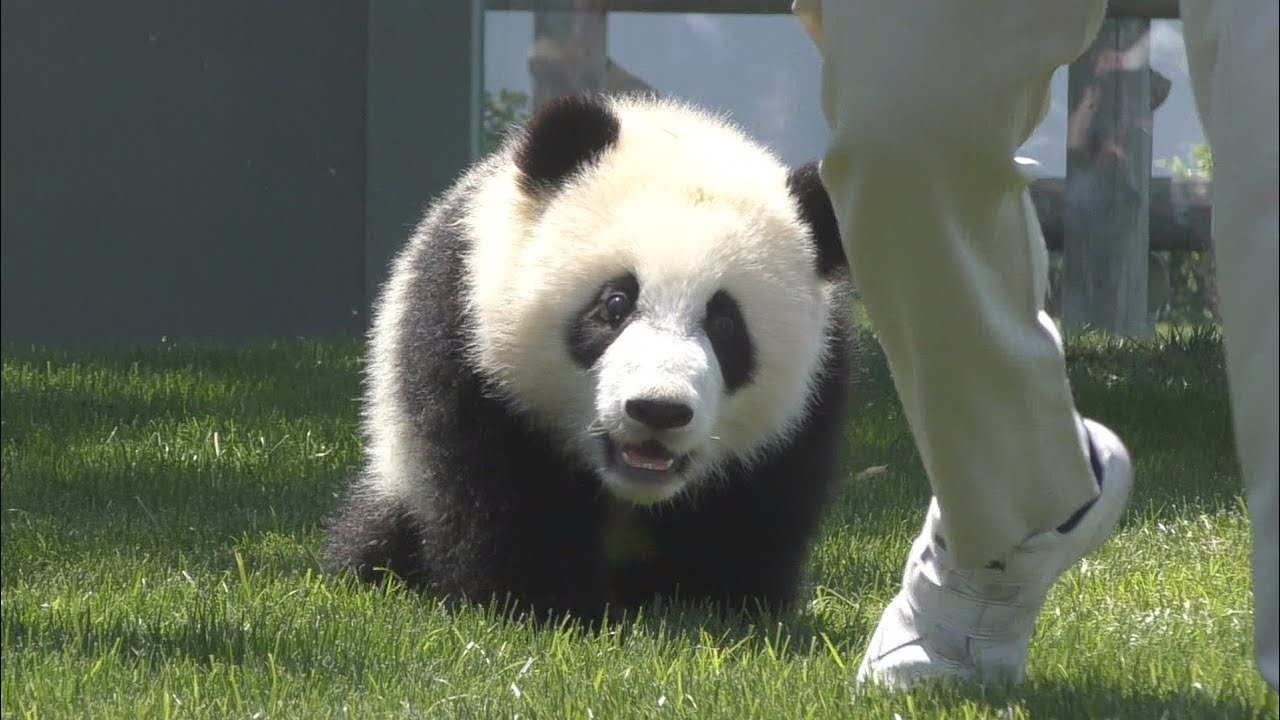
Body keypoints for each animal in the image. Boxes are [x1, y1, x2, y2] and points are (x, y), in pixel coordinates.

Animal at [324, 93, 854, 621]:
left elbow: (759, 509)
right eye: (615, 304)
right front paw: (538, 602)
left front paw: (722, 603)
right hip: (397, 474)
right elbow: (497, 485)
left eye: (725, 326)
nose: (658, 409)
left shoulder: (815, 395)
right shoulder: (467, 332)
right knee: (377, 536)